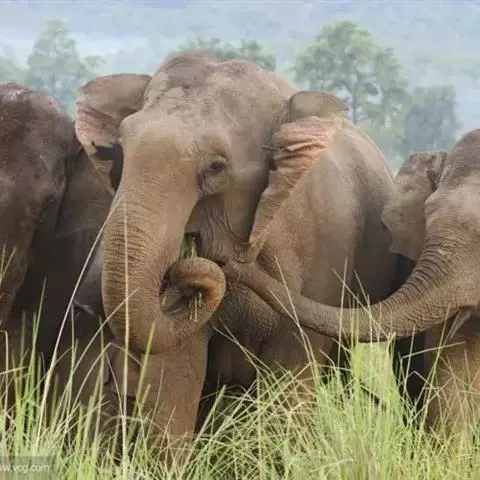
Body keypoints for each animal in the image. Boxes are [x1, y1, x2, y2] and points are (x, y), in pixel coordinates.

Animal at [73, 49, 404, 444]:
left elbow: (290, 380)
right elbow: (178, 375)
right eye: (120, 153)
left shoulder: (325, 253)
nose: (216, 263)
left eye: (216, 168)